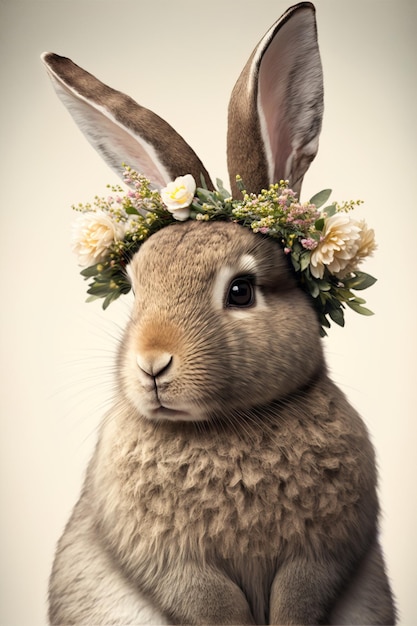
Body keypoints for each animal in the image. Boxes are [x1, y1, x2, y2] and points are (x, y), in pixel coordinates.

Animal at [43, 2, 396, 620]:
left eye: (241, 292)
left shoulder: (316, 558)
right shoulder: (177, 564)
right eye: (135, 286)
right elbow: (209, 600)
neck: (221, 428)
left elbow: (298, 596)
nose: (153, 364)